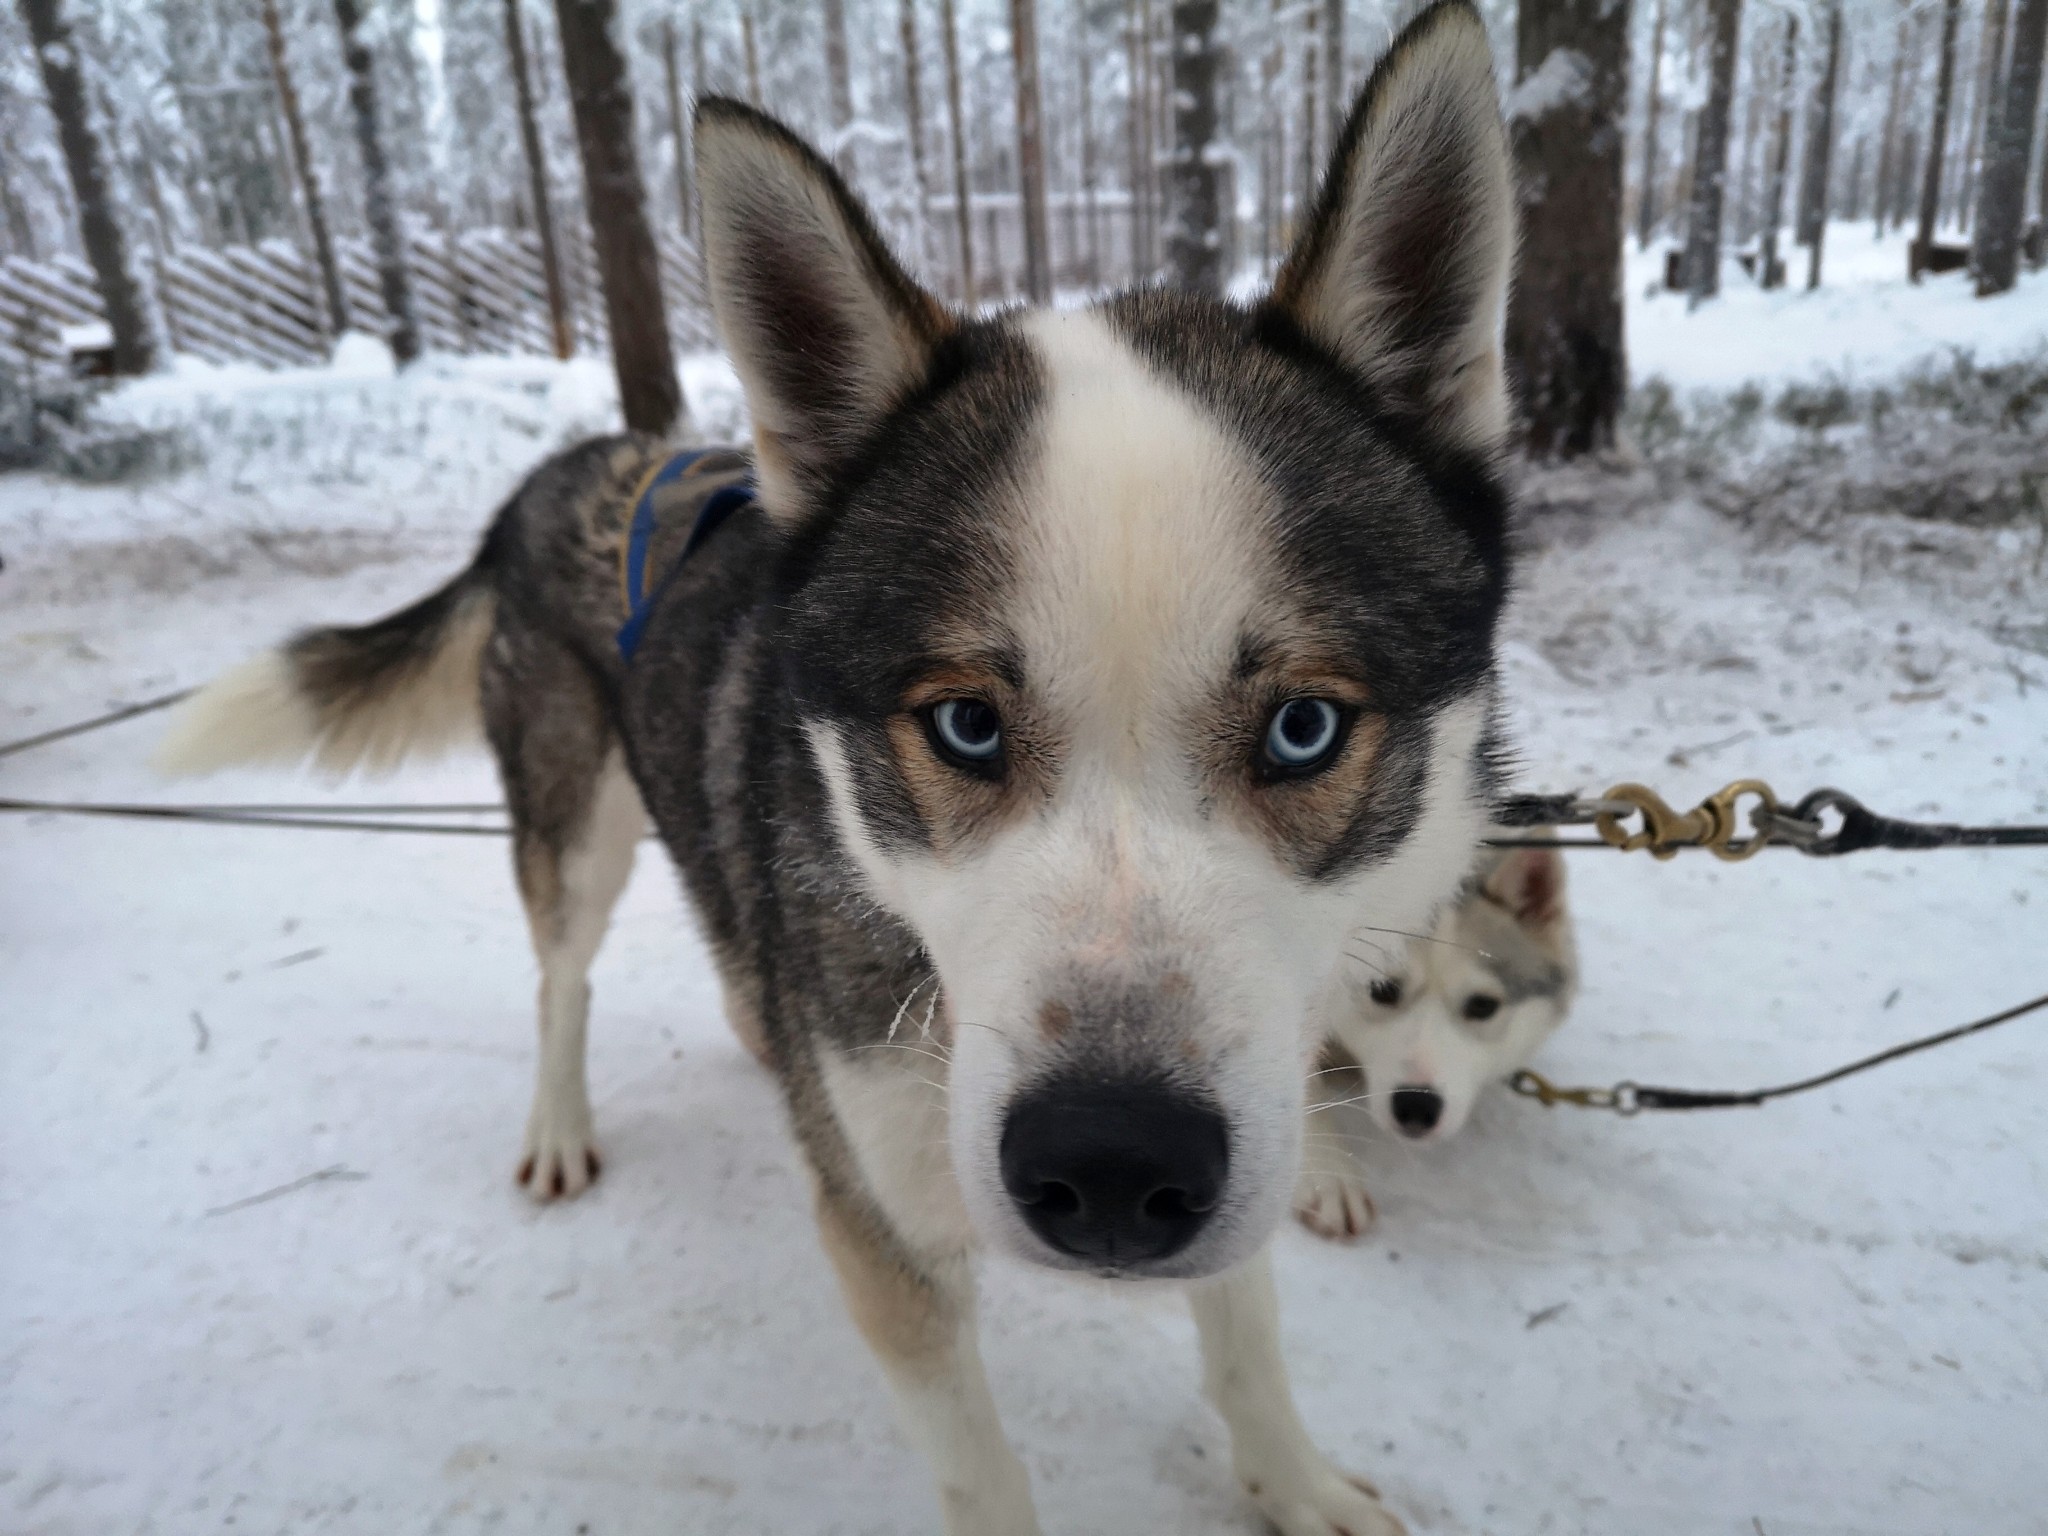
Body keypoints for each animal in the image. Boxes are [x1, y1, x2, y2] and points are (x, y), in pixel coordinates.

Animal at [163, 6, 1523, 1531]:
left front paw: (1289, 1480)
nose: (1114, 1163)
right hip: (578, 832)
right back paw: (563, 1122)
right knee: (564, 979)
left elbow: (1247, 1337)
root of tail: (561, 469)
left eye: (1304, 728)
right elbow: (985, 1476)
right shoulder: (889, 1250)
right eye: (966, 725)